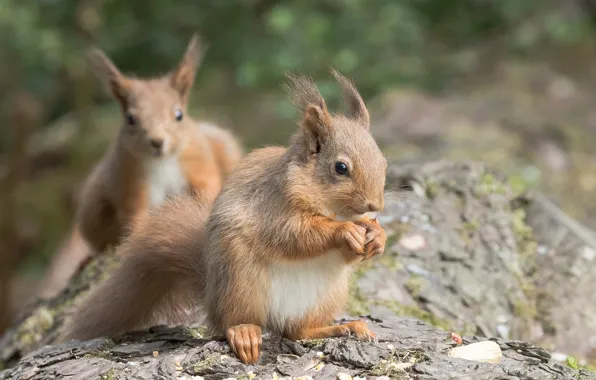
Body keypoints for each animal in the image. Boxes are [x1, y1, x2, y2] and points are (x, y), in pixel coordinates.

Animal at [32, 33, 241, 300]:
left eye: (179, 115)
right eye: (130, 119)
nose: (157, 141)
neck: (162, 161)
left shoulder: (199, 165)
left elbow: (208, 188)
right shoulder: (130, 180)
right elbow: (135, 214)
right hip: (94, 206)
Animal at [58, 70, 388, 364]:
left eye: (383, 161)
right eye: (340, 168)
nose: (377, 204)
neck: (334, 208)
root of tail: (211, 292)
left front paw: (377, 236)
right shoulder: (273, 206)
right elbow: (293, 235)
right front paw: (344, 231)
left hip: (326, 295)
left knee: (297, 331)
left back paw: (345, 326)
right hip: (239, 280)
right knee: (237, 322)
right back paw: (244, 333)